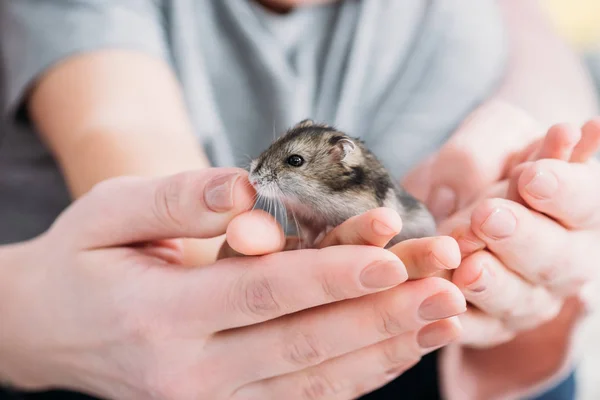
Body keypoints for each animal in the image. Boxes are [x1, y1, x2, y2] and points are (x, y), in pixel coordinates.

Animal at [248, 120, 436, 248]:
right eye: (272, 145)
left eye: (295, 160)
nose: (252, 179)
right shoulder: (304, 220)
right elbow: (308, 234)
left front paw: (325, 232)